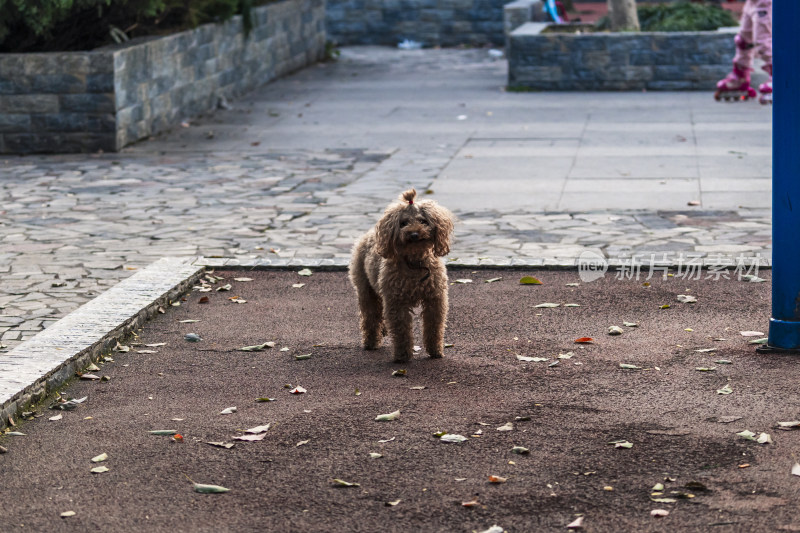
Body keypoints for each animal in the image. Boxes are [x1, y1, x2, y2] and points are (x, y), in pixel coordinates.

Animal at [352, 187, 456, 362]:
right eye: (403, 223)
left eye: (423, 221)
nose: (414, 234)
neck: (414, 263)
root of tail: (369, 234)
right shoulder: (396, 301)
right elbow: (401, 331)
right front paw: (402, 355)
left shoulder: (435, 298)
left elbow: (434, 326)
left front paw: (435, 351)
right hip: (365, 289)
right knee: (370, 316)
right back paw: (371, 342)